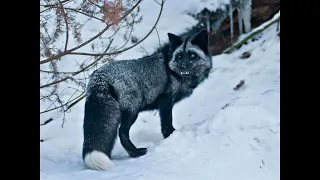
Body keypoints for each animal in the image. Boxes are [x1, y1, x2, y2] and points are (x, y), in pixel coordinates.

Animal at [82, 29, 212, 170]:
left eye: (192, 55)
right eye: (179, 56)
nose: (182, 66)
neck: (173, 72)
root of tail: (100, 77)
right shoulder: (166, 101)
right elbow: (166, 124)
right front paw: (172, 135)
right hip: (132, 111)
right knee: (122, 133)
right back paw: (136, 152)